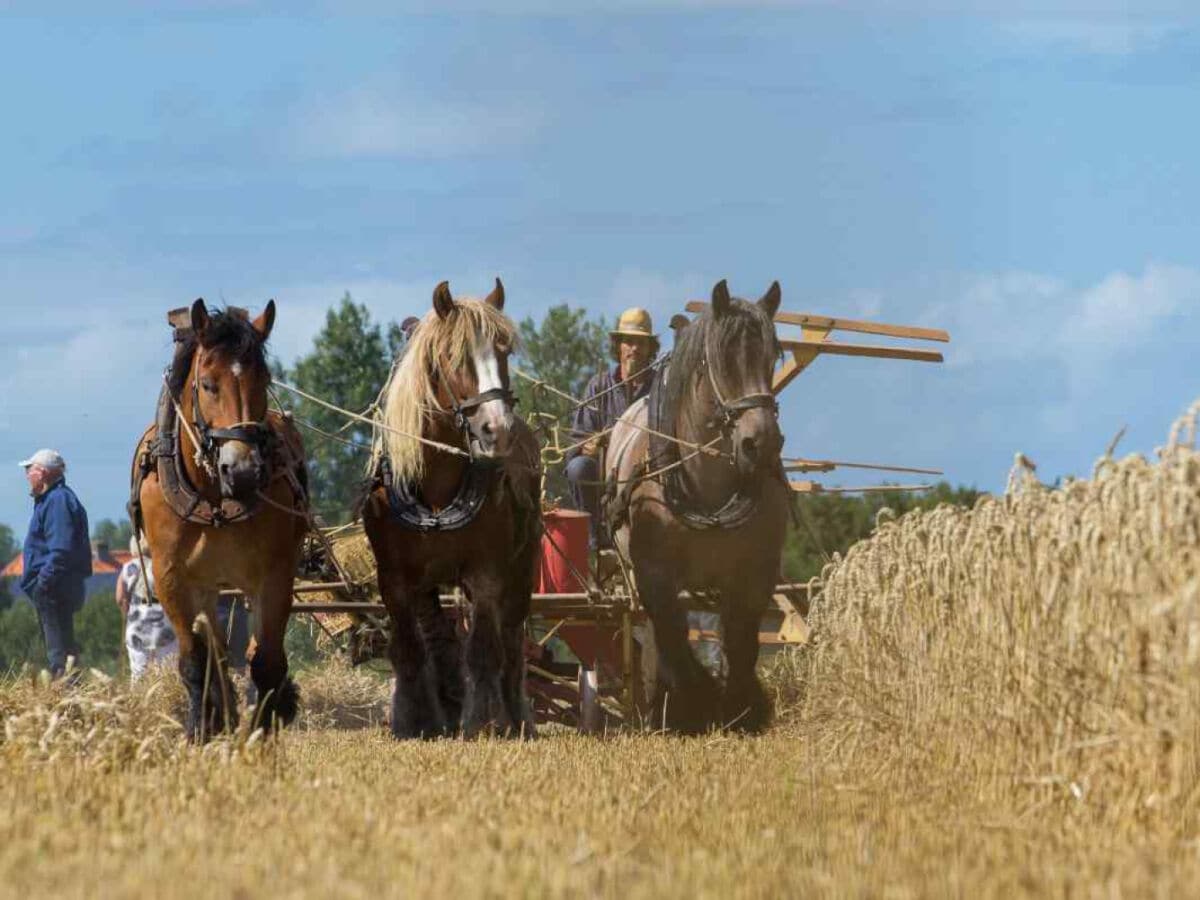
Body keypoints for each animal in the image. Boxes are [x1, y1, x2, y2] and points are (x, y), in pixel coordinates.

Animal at [130, 301, 309, 739]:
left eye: (264, 380)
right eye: (208, 384)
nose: (242, 471)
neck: (213, 502)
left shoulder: (274, 575)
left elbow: (267, 659)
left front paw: (264, 726)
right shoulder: (172, 578)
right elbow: (196, 659)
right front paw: (200, 726)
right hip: (209, 588)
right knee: (216, 650)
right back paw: (220, 713)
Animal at [360, 282, 540, 739]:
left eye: (504, 351)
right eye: (453, 357)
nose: (498, 430)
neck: (438, 488)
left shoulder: (487, 572)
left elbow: (483, 651)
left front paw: (479, 723)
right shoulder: (395, 578)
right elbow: (409, 648)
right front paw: (411, 721)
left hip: (521, 568)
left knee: (511, 640)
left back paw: (516, 717)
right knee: (439, 641)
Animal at [609, 283, 787, 739]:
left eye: (773, 354)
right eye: (722, 358)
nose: (761, 443)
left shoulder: (754, 573)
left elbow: (741, 641)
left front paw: (742, 708)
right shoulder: (654, 573)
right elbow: (671, 634)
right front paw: (692, 704)